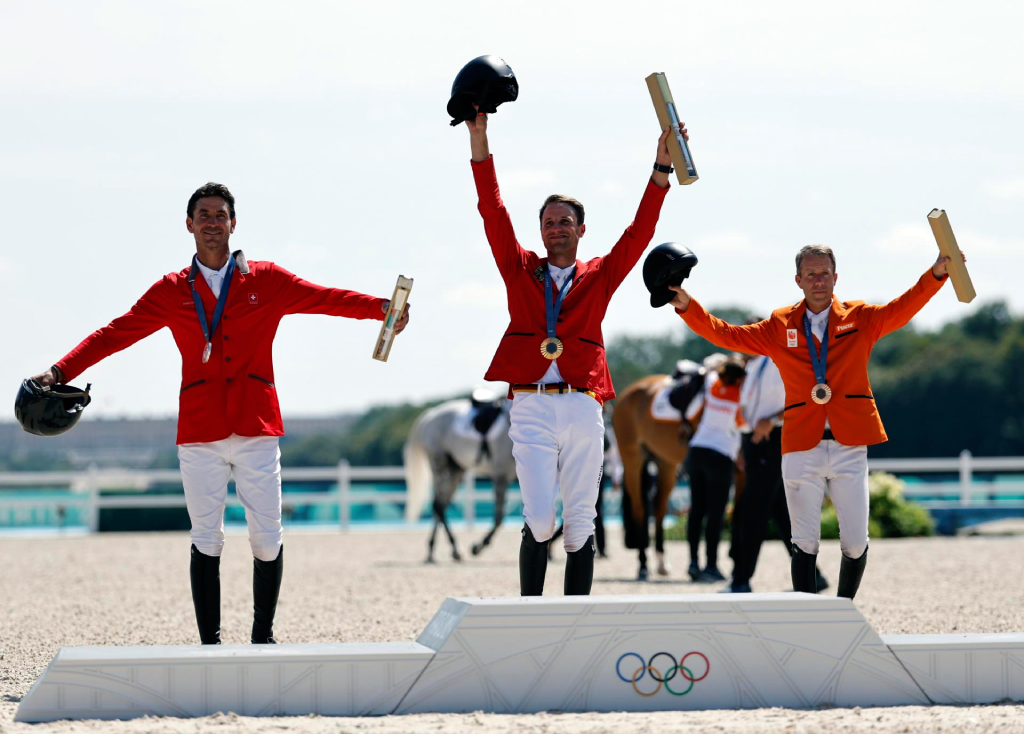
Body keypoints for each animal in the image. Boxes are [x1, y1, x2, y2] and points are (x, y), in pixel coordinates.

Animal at [401, 393, 516, 565]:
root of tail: (430, 415)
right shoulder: (501, 475)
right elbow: (499, 517)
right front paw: (478, 546)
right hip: (439, 464)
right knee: (438, 505)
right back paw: (453, 548)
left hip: (455, 469)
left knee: (442, 505)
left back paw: (434, 551)